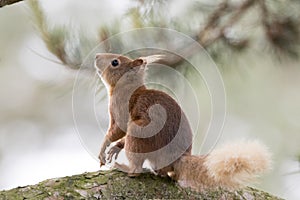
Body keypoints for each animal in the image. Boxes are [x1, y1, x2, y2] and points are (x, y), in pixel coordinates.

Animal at [94, 53, 272, 191]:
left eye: (115, 62)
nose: (96, 56)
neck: (127, 86)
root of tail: (177, 159)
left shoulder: (120, 108)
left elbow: (117, 130)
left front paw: (104, 146)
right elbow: (120, 138)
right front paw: (115, 148)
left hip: (139, 133)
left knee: (136, 168)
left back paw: (126, 168)